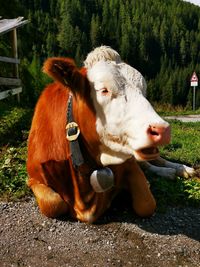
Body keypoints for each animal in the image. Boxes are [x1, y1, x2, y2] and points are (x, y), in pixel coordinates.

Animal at [27, 46, 181, 224]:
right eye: (104, 90)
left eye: (144, 91)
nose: (162, 129)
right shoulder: (33, 177)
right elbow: (54, 204)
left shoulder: (128, 164)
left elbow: (147, 204)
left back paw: (180, 170)